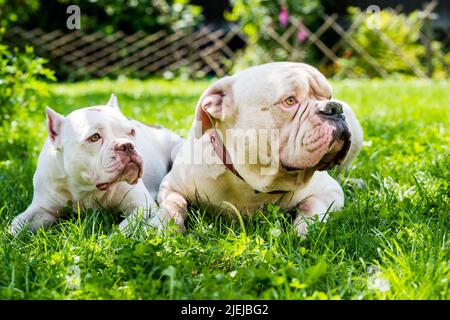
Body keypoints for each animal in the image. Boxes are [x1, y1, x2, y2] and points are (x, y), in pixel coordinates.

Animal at [9, 93, 181, 235]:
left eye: (132, 132)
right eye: (94, 137)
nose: (127, 145)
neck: (85, 187)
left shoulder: (142, 206)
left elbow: (125, 227)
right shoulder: (41, 209)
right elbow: (16, 225)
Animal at [154, 63, 362, 238]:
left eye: (328, 97)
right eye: (290, 100)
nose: (334, 107)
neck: (256, 181)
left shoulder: (330, 192)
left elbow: (311, 207)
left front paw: (302, 232)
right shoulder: (171, 186)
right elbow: (174, 204)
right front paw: (165, 227)